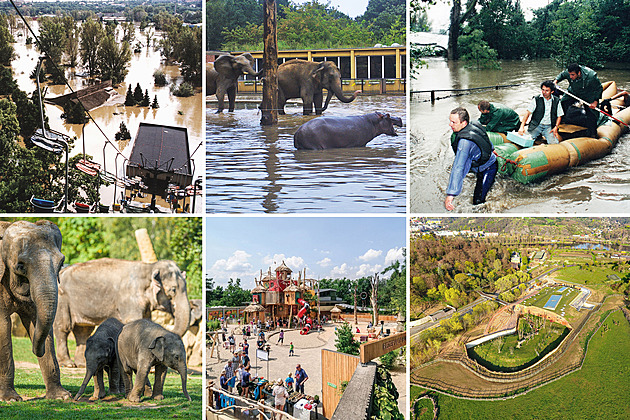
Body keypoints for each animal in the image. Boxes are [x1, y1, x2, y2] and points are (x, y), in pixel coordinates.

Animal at [0, 220, 71, 400]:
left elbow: (37, 321)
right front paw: (11, 399)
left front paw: (62, 397)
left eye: (61, 263)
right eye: (20, 266)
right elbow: (3, 326)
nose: (35, 350)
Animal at [55, 258, 189, 370]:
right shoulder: (129, 299)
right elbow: (133, 320)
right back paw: (68, 364)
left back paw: (82, 364)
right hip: (62, 300)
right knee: (63, 328)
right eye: (173, 290)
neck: (149, 267)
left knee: (83, 331)